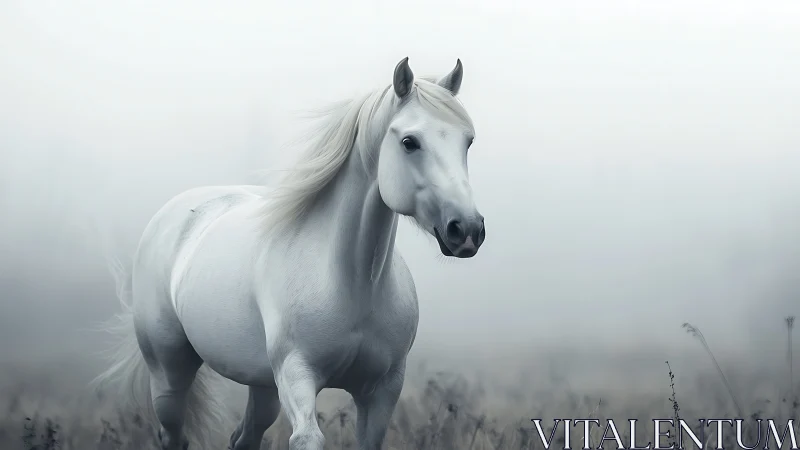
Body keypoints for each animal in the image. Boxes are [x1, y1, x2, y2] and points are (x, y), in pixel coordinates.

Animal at [94, 57, 486, 450]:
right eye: (409, 142)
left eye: (468, 141)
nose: (467, 230)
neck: (352, 283)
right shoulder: (296, 374)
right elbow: (307, 437)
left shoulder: (382, 390)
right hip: (170, 374)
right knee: (173, 433)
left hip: (262, 384)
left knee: (244, 437)